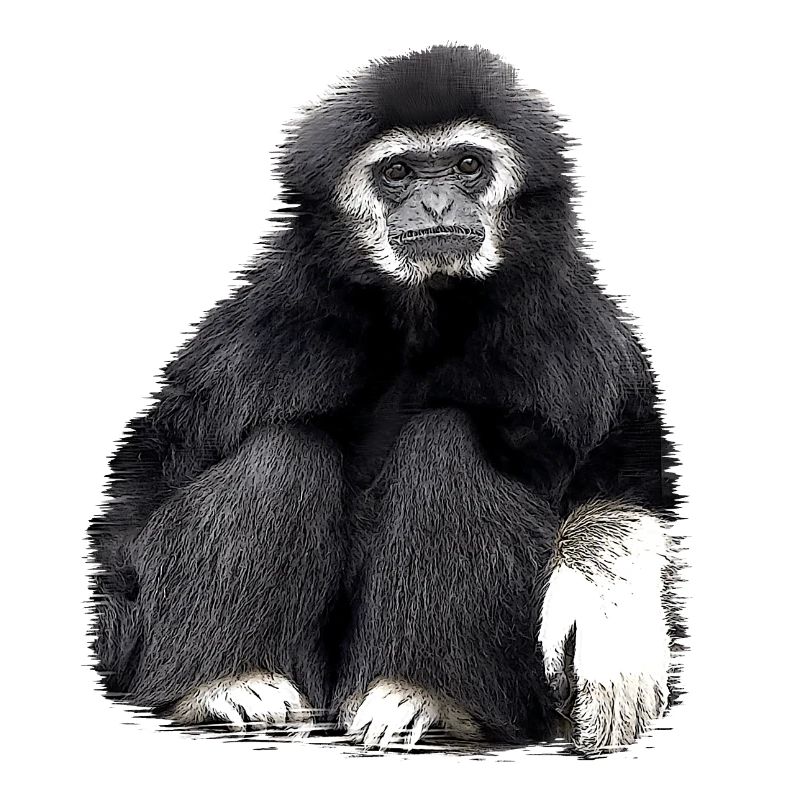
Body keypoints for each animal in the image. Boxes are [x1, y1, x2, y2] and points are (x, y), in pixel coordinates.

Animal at [88, 44, 684, 755]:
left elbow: (623, 477)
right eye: (397, 172)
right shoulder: (263, 331)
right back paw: (230, 682)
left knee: (443, 443)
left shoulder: (573, 335)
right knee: (281, 450)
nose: (435, 202)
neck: (423, 317)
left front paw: (609, 611)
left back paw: (425, 695)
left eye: (466, 165)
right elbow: (143, 489)